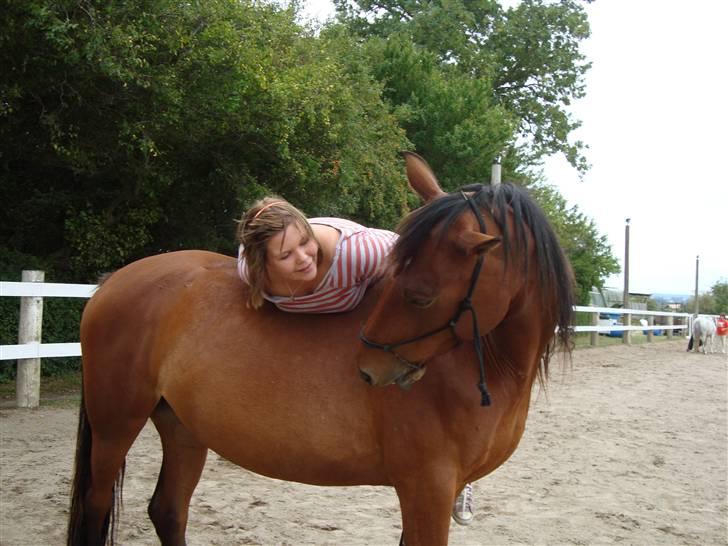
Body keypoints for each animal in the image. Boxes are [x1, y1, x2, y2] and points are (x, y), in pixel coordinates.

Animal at [67, 152, 576, 544]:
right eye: (398, 279)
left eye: (419, 295)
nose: (368, 369)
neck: (484, 366)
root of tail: (113, 282)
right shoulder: (427, 487)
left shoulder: (435, 491)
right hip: (116, 427)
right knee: (96, 508)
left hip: (183, 427)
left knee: (168, 510)